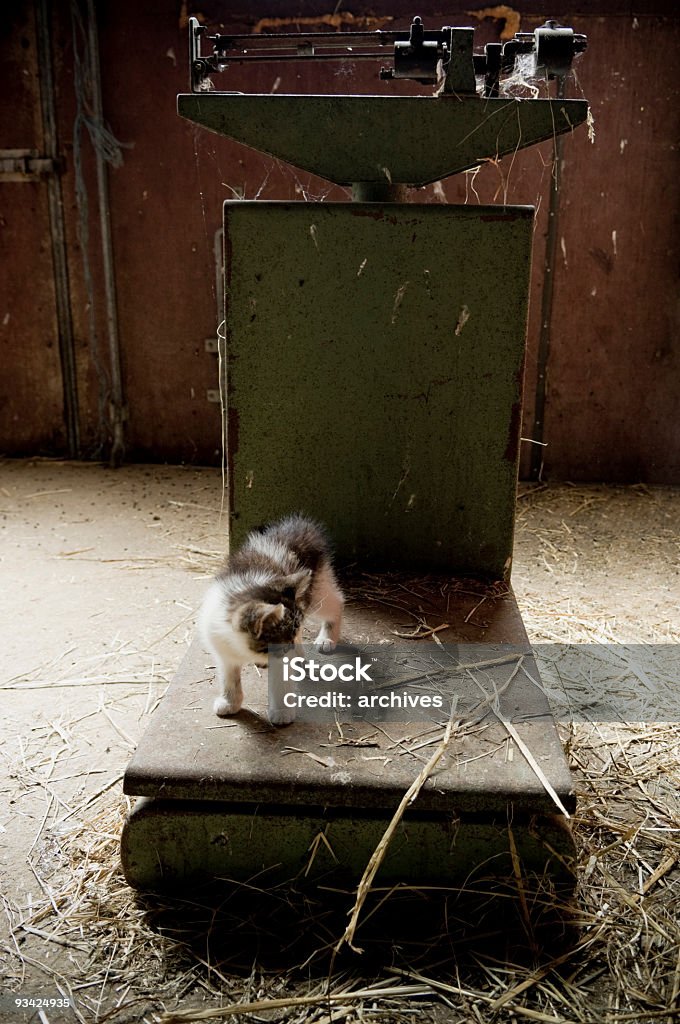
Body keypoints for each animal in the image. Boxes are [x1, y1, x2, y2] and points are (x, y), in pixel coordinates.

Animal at [197, 516, 346, 724]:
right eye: (283, 640)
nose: (290, 647)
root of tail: (299, 525)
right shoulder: (223, 650)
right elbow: (230, 678)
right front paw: (230, 702)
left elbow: (281, 681)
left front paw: (282, 712)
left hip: (317, 590)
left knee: (337, 602)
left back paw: (326, 638)